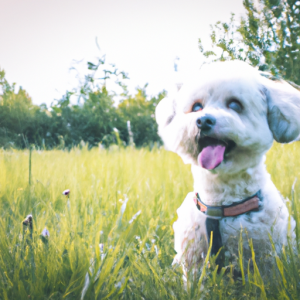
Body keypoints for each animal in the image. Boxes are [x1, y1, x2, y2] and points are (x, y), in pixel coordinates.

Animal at [156, 60, 298, 272]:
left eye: (235, 105)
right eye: (196, 106)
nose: (203, 120)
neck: (221, 206)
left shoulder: (267, 258)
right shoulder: (194, 258)